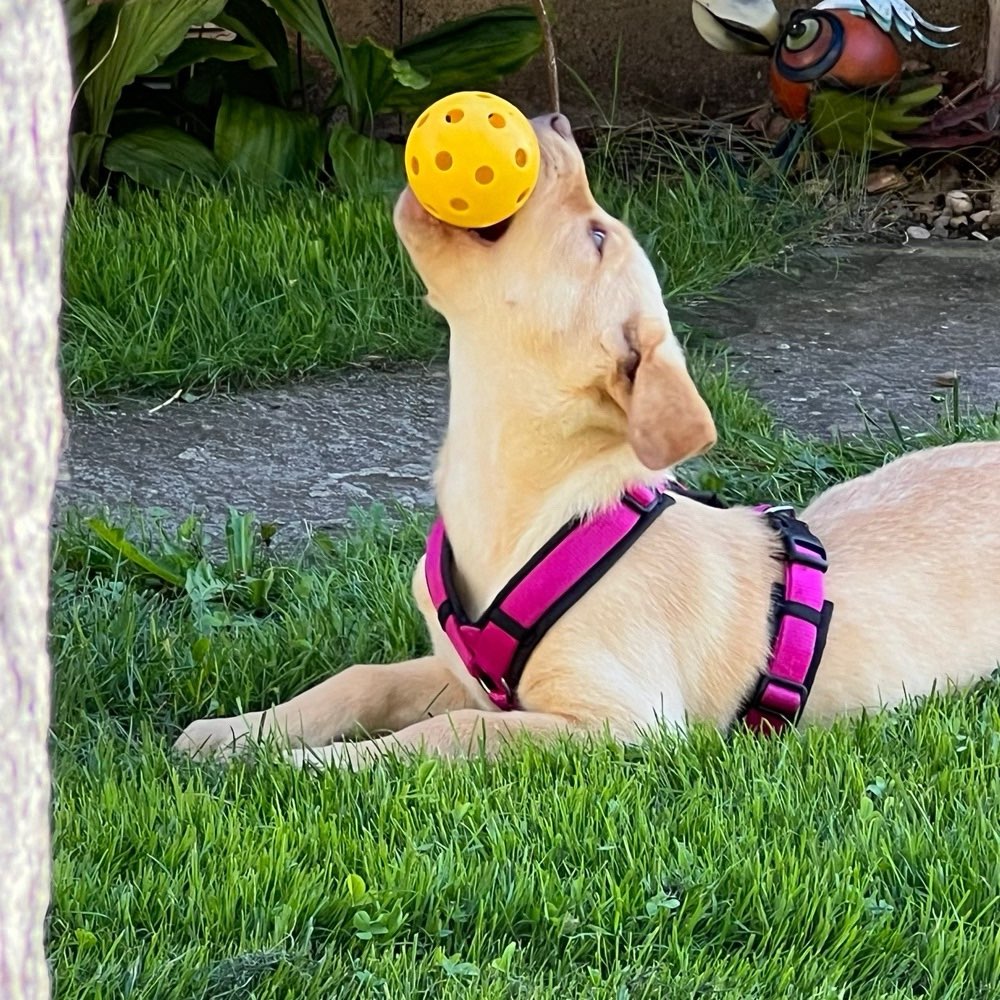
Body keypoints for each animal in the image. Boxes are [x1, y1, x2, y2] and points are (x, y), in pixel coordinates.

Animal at [176, 113, 1000, 764]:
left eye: (597, 235)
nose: (554, 118)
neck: (519, 507)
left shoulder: (619, 721)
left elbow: (451, 734)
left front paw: (318, 767)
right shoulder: (454, 671)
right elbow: (360, 680)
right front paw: (240, 734)